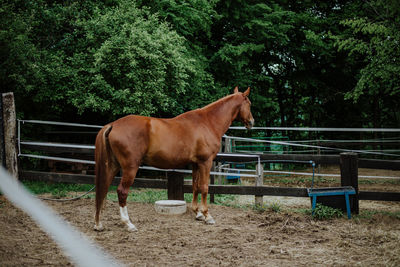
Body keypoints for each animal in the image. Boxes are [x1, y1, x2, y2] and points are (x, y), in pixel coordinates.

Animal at [94, 87, 253, 231]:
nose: (252, 122)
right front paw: (207, 216)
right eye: (249, 103)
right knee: (122, 192)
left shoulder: (195, 164)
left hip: (113, 166)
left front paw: (198, 213)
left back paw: (98, 224)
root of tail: (113, 125)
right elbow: (204, 187)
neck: (207, 122)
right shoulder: (205, 162)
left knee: (103, 188)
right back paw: (128, 223)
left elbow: (195, 186)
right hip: (130, 168)